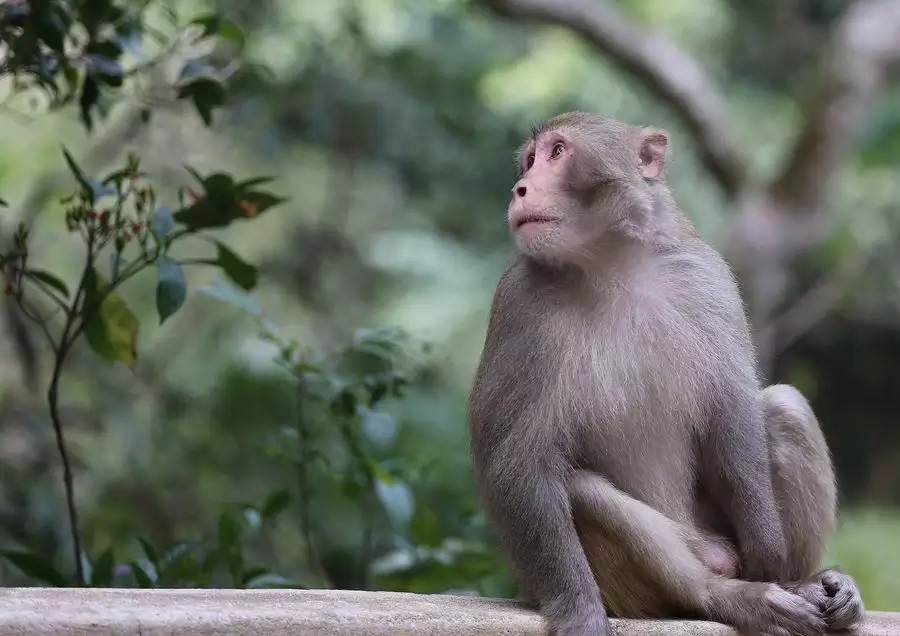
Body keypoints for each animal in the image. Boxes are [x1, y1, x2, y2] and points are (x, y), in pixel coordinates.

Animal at [468, 114, 860, 636]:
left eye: (557, 153)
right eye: (530, 160)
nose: (521, 188)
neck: (612, 266)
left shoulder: (706, 277)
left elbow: (731, 414)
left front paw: (773, 559)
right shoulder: (519, 304)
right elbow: (518, 462)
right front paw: (578, 610)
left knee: (785, 408)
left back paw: (800, 583)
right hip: (649, 581)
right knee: (583, 490)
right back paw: (725, 596)